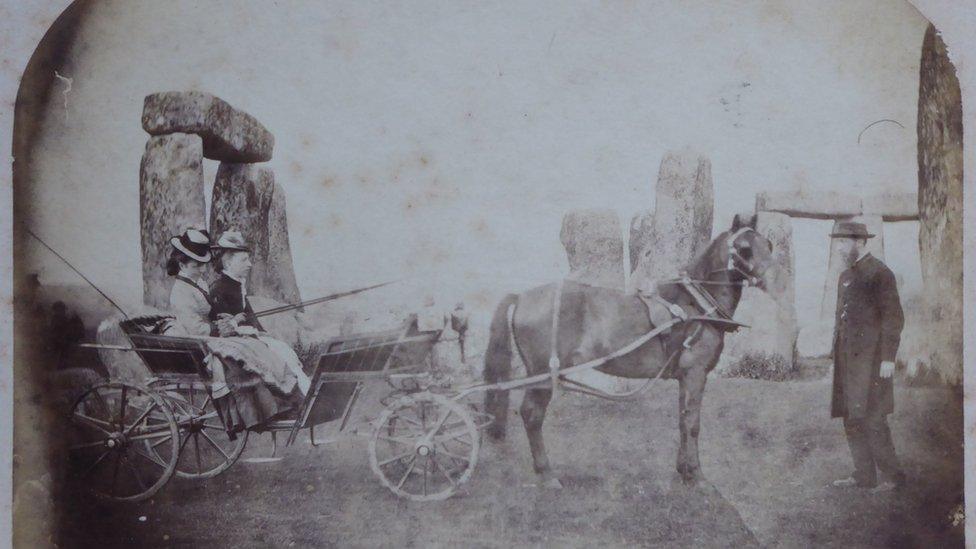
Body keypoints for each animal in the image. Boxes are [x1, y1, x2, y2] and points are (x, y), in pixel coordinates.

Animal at [484, 212, 772, 486]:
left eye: (768, 245)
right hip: (543, 375)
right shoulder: (696, 373)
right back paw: (546, 473)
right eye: (745, 248)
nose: (770, 280)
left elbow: (682, 420)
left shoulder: (685, 377)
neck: (695, 304)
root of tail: (522, 297)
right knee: (532, 415)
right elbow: (693, 425)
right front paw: (698, 476)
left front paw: (683, 471)